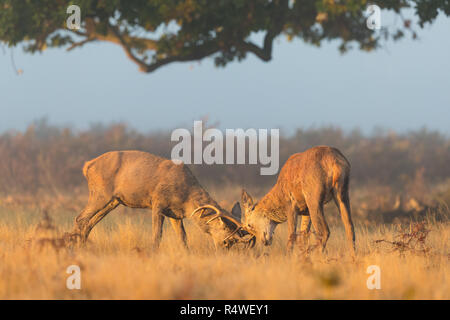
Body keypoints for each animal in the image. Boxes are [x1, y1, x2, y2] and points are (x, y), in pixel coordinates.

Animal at [68, 151, 255, 250]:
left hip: (114, 201)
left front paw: (187, 254)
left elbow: (183, 237)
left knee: (89, 223)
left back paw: (81, 245)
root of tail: (87, 166)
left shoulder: (175, 213)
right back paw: (75, 246)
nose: (224, 250)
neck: (187, 198)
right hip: (100, 194)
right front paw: (153, 252)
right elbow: (157, 234)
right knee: (80, 218)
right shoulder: (158, 202)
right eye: (228, 240)